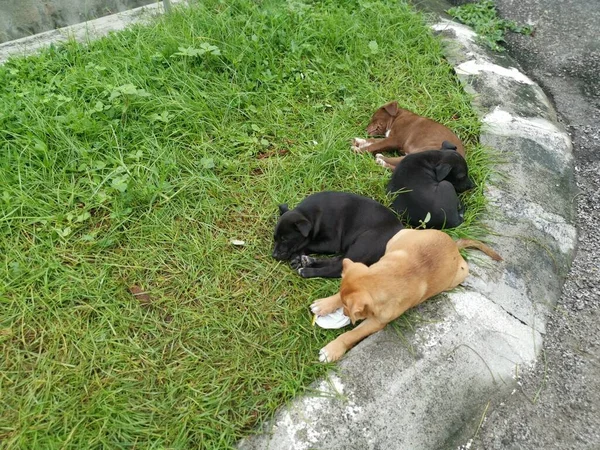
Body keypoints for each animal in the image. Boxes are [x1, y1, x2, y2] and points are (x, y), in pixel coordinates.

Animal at [272, 191, 404, 278]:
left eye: (285, 239)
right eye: (275, 238)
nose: (274, 255)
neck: (308, 215)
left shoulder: (330, 243)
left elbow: (307, 243)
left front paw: (296, 255)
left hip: (365, 244)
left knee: (337, 268)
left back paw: (307, 271)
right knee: (338, 260)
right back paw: (309, 261)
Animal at [310, 229, 502, 362]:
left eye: (348, 310)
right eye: (343, 305)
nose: (344, 314)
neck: (384, 278)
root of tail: (455, 246)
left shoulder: (377, 322)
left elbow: (351, 335)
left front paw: (332, 350)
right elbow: (341, 291)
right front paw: (325, 304)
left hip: (459, 275)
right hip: (400, 235)